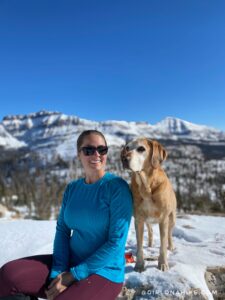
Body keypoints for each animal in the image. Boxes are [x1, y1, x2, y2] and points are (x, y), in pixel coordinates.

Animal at [121, 138, 176, 272]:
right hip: (147, 219)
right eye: (127, 148)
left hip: (172, 217)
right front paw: (139, 265)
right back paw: (150, 244)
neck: (146, 186)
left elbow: (163, 245)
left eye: (141, 149)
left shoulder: (163, 219)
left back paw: (171, 246)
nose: (124, 158)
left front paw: (163, 264)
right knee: (150, 230)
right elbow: (139, 245)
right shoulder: (139, 219)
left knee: (170, 234)